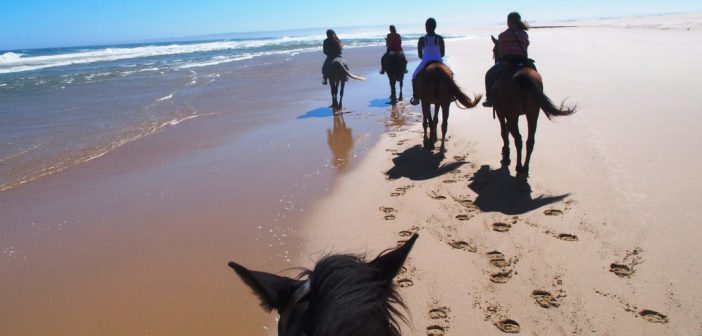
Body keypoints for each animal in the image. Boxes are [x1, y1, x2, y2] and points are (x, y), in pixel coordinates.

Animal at [492, 35, 580, 175]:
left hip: (514, 115)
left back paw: (518, 166)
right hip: (533, 113)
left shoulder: (501, 113)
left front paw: (505, 153)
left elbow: (503, 132)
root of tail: (522, 77)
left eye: (494, 50)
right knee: (530, 141)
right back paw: (525, 168)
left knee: (518, 139)